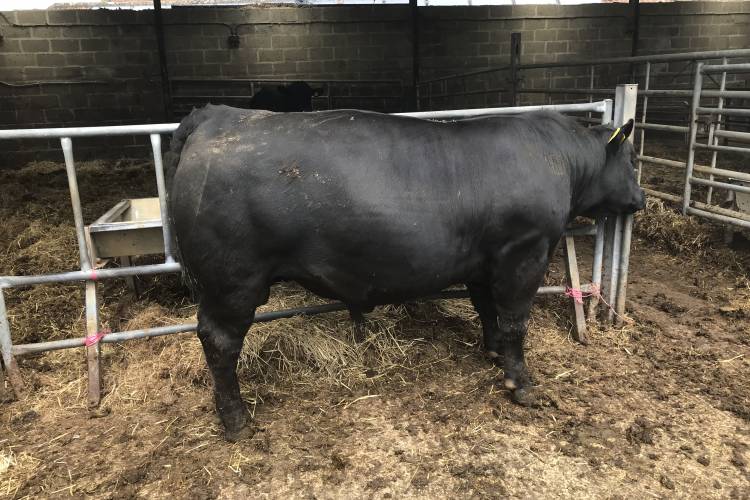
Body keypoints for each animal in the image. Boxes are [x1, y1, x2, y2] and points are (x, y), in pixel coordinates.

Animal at [165, 105, 644, 441]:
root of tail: (218, 115)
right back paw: (235, 419)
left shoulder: (483, 261)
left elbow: (487, 310)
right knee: (220, 342)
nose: (640, 199)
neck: (556, 158)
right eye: (631, 158)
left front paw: (492, 352)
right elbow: (514, 320)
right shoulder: (524, 252)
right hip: (232, 282)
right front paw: (520, 382)